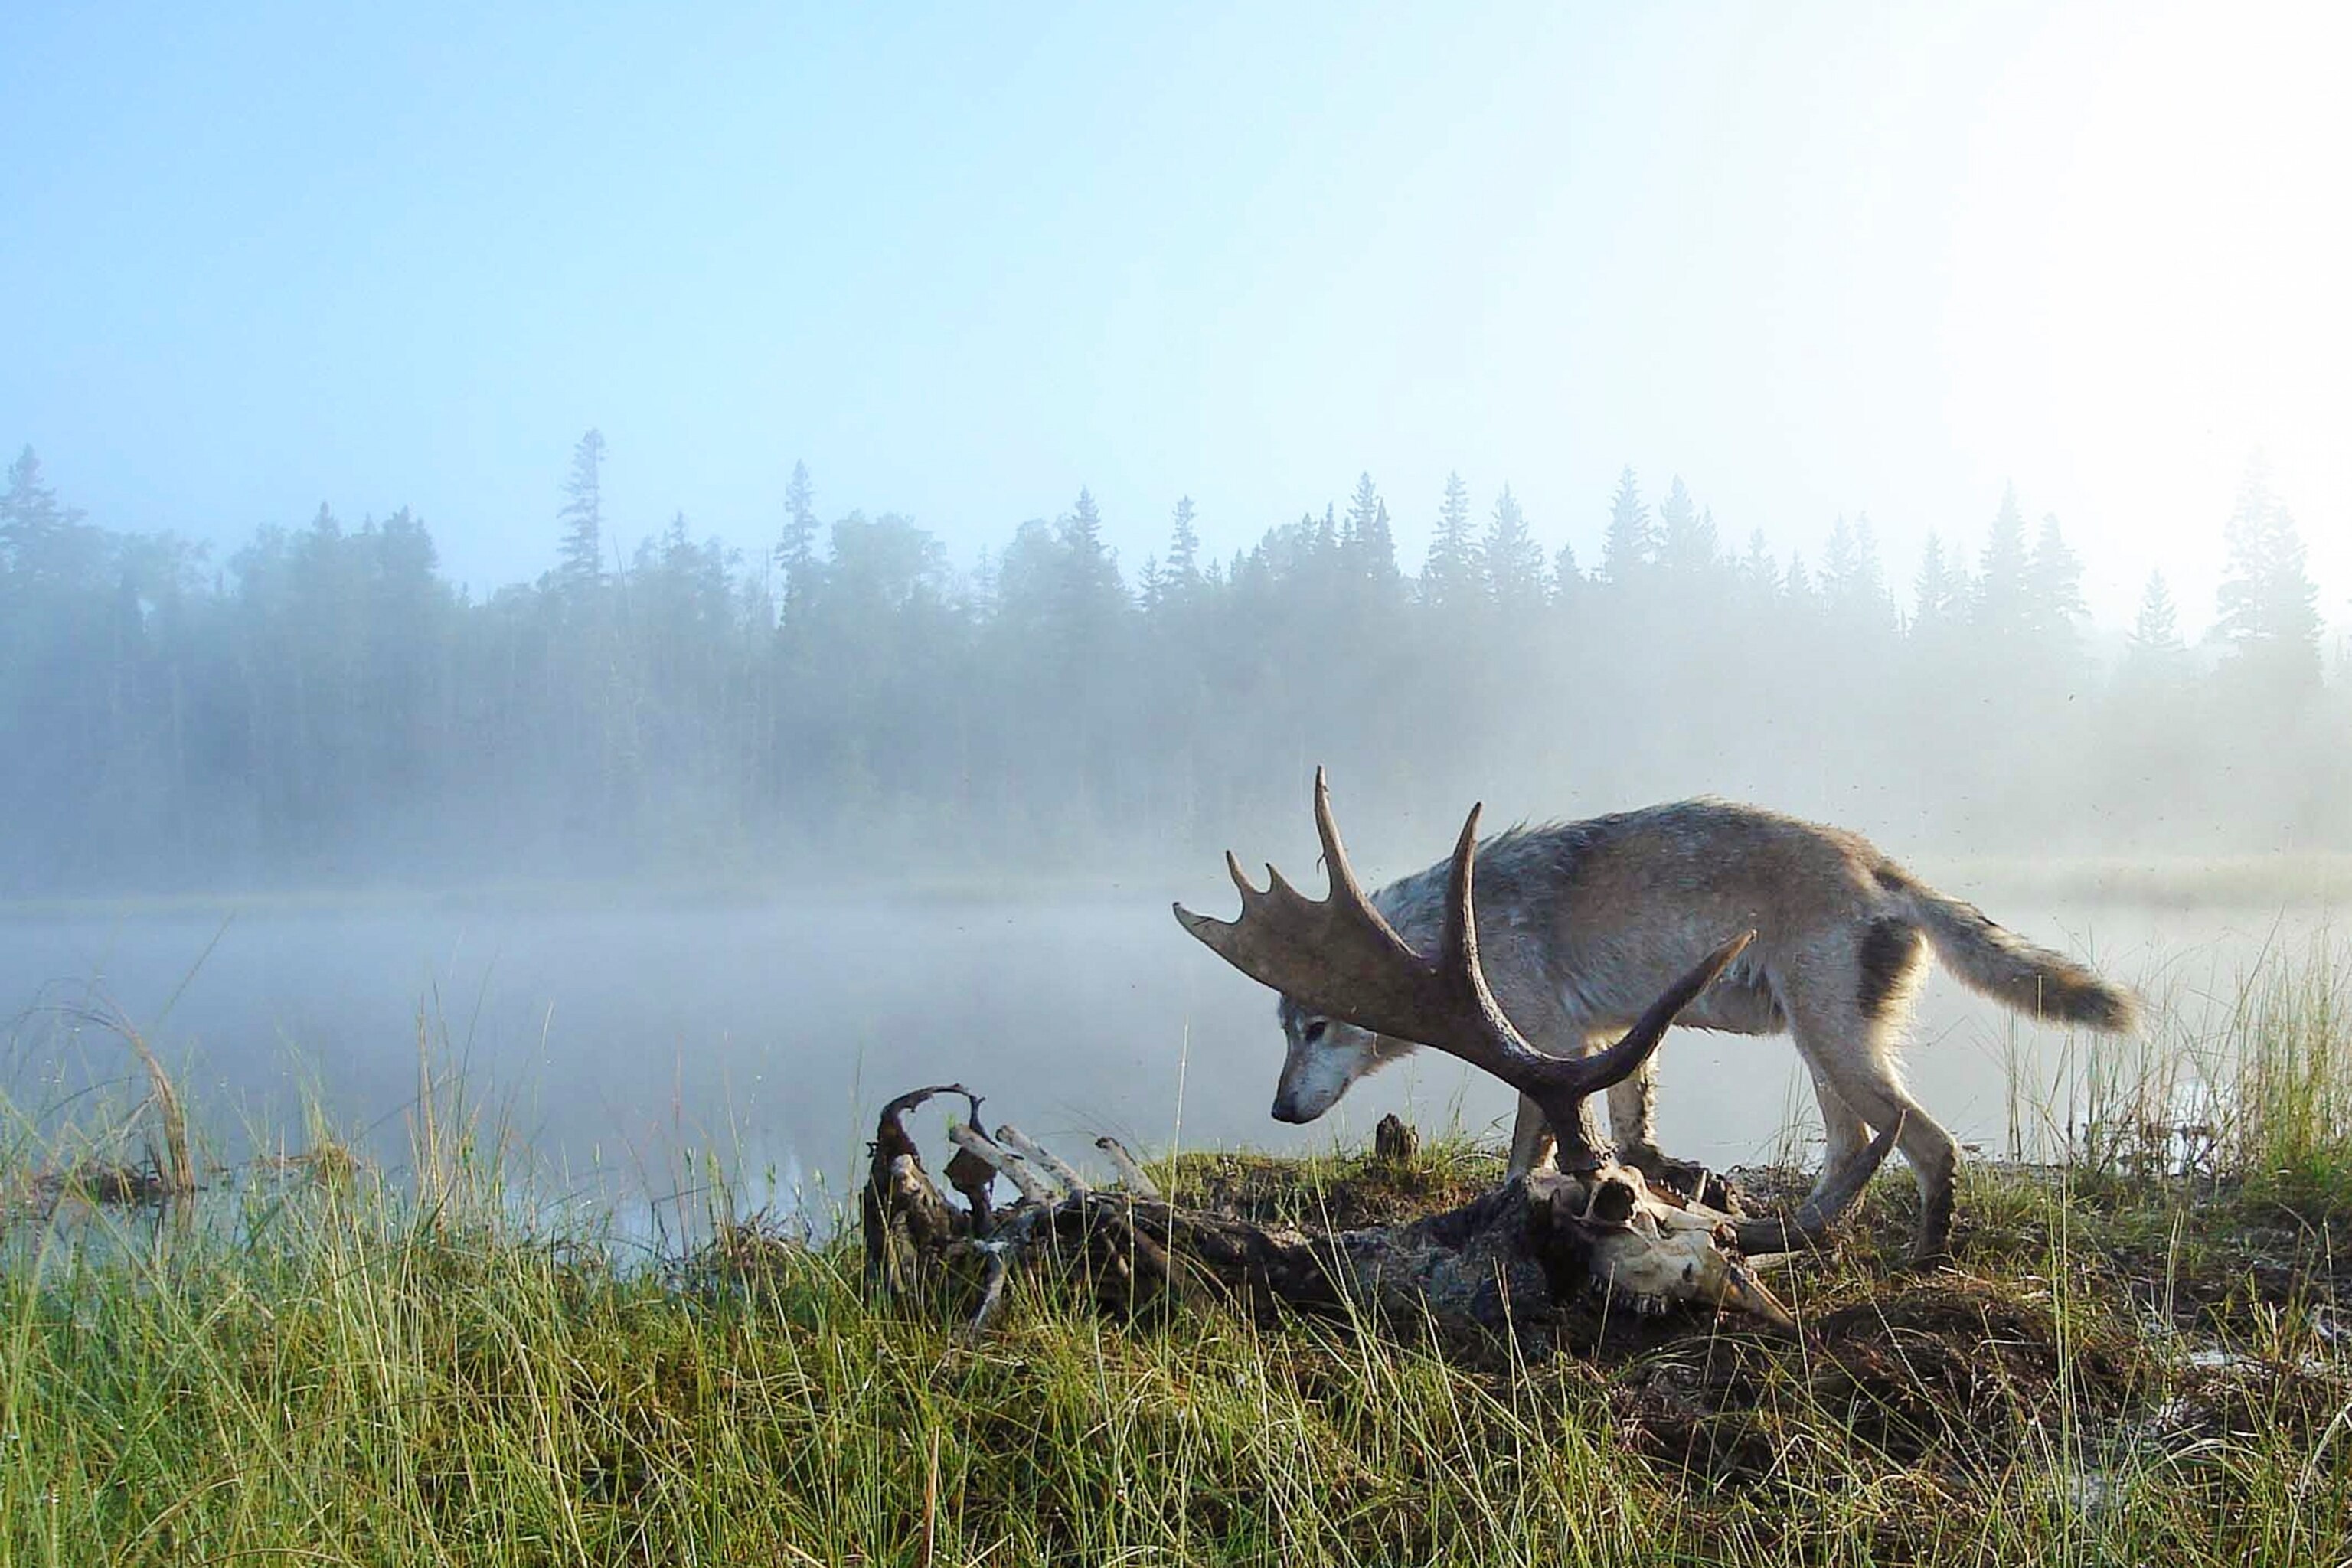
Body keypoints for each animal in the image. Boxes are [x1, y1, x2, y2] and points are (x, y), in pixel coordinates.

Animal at [1266, 798, 2136, 1262]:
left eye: (1316, 1028)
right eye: (1285, 1028)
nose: (1278, 1110)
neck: (1445, 937)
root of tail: (1886, 870)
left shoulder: (1546, 1047)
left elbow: (1526, 1153)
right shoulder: (1609, 1039)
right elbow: (1631, 1131)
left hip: (1837, 1051)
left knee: (1931, 1146)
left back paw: (1920, 1261)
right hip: (1823, 1053)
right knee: (1857, 1149)